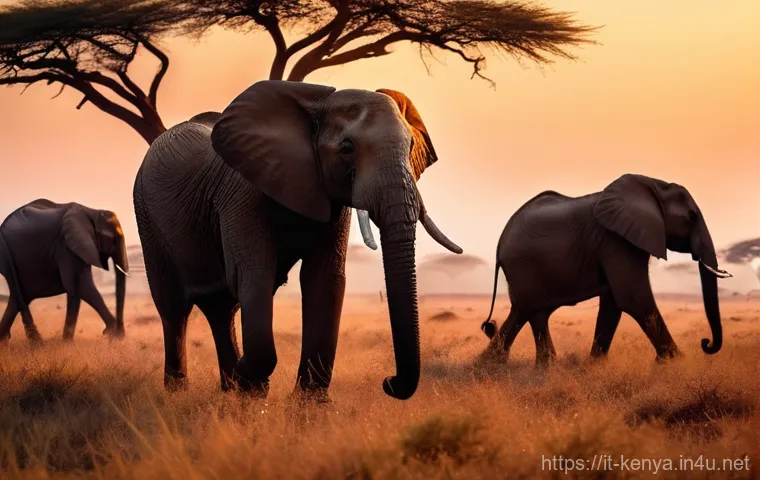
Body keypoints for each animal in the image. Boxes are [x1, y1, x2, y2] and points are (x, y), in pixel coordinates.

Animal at [0, 199, 129, 342]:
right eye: (111, 238)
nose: (121, 334)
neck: (91, 212)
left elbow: (77, 287)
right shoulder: (66, 246)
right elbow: (80, 286)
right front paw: (114, 335)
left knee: (19, 297)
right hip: (6, 254)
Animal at [133, 80, 462, 401]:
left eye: (411, 146)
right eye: (347, 148)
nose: (388, 382)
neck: (318, 105)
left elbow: (324, 279)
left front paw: (307, 404)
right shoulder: (242, 191)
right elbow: (255, 274)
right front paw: (253, 386)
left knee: (220, 308)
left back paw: (228, 388)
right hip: (145, 213)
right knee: (174, 308)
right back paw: (181, 392)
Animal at [479, 174, 732, 366]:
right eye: (690, 217)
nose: (705, 343)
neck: (653, 185)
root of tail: (500, 244)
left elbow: (614, 304)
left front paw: (594, 366)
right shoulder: (616, 240)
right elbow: (633, 298)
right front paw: (675, 363)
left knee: (525, 312)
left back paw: (494, 367)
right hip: (525, 266)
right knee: (535, 312)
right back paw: (539, 369)